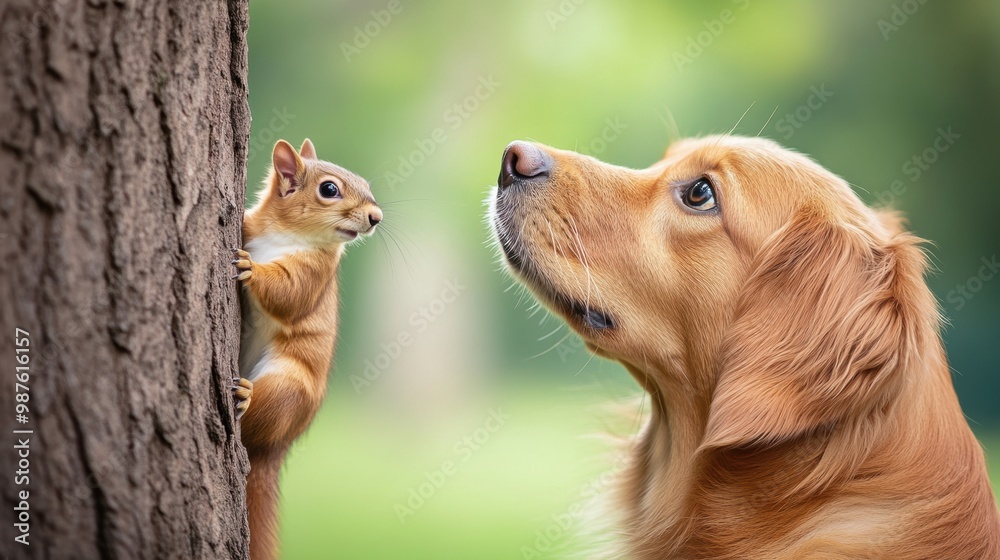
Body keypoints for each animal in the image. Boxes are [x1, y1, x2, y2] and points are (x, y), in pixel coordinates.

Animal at [230, 137, 382, 560]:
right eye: (329, 189)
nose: (376, 217)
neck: (285, 235)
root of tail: (273, 450)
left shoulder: (314, 273)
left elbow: (287, 294)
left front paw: (252, 269)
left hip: (287, 388)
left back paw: (247, 395)